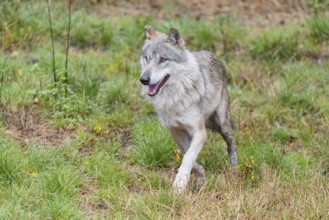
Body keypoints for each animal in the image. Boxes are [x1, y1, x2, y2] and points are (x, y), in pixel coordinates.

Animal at [140, 24, 237, 192]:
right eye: (147, 58)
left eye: (163, 59)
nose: (144, 79)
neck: (173, 97)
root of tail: (212, 54)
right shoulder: (175, 131)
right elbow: (189, 155)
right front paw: (201, 176)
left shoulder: (200, 132)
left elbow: (188, 157)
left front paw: (180, 183)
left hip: (223, 124)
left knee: (231, 146)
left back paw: (234, 170)